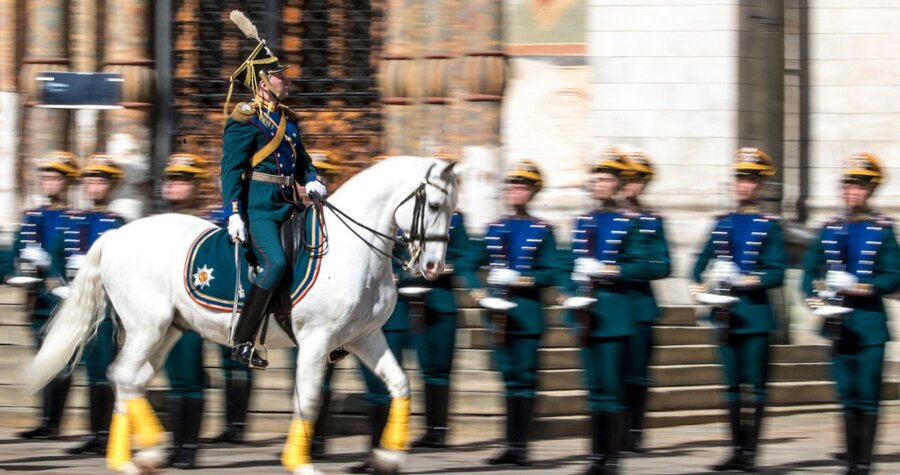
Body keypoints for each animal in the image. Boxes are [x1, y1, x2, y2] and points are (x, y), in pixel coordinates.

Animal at [24, 158, 460, 474]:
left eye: (453, 209)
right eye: (434, 205)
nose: (434, 267)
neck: (354, 248)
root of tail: (115, 235)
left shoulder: (363, 337)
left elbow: (400, 385)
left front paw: (387, 458)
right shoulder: (316, 341)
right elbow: (309, 401)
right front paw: (300, 464)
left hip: (169, 331)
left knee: (129, 379)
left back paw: (138, 456)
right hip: (148, 327)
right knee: (124, 376)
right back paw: (139, 455)